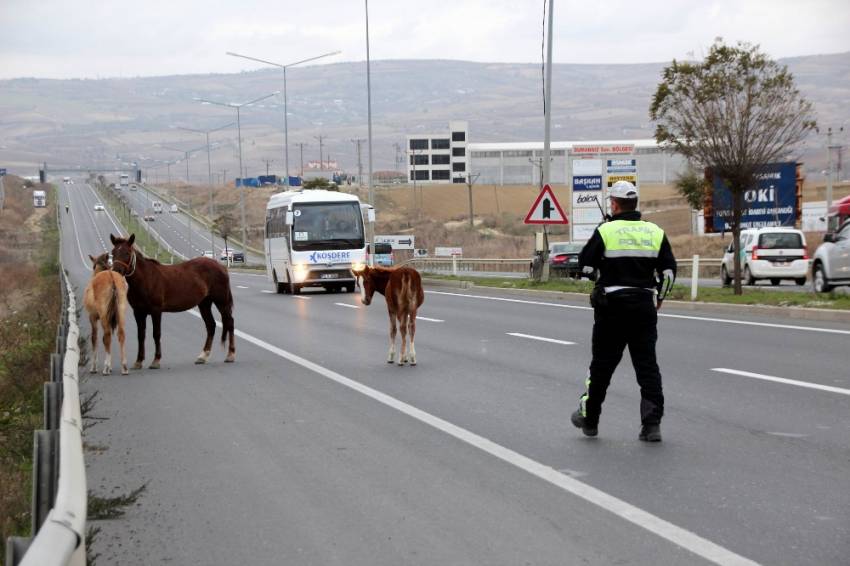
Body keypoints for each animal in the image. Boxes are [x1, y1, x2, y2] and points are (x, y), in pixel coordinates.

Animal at [109, 234, 237, 368]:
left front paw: (156, 360)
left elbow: (156, 334)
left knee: (229, 322)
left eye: (127, 253)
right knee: (211, 325)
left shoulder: (156, 311)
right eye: (113, 252)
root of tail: (221, 266)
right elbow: (141, 335)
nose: (116, 272)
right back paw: (203, 356)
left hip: (221, 302)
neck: (146, 279)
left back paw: (230, 355)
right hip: (204, 304)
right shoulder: (138, 312)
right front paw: (138, 361)